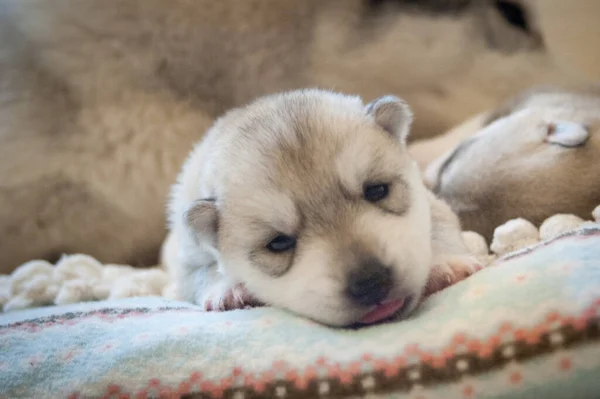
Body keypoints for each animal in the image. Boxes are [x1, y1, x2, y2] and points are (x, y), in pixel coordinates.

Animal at [165, 90, 482, 328]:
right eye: (278, 243)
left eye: (377, 190)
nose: (371, 281)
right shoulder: (187, 257)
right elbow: (200, 274)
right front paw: (229, 289)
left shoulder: (430, 201)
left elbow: (439, 224)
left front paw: (445, 263)